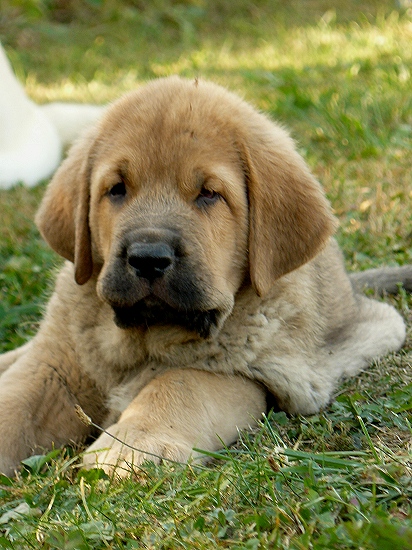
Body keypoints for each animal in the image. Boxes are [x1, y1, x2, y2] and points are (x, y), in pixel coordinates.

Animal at [0, 77, 412, 478]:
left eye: (209, 194)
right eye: (116, 189)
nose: (148, 258)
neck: (142, 340)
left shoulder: (251, 371)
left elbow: (178, 383)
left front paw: (133, 444)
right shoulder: (54, 366)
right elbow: (15, 402)